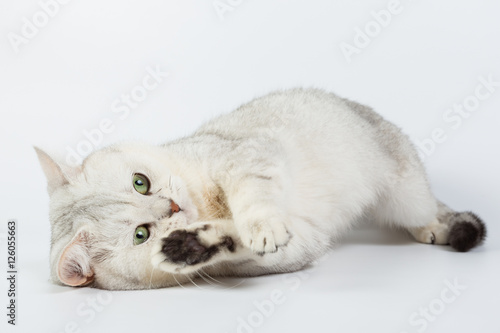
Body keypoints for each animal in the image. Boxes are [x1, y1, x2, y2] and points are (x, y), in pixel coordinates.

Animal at [34, 87, 484, 288]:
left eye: (140, 182)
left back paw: (437, 229)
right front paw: (191, 246)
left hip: (406, 195)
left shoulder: (249, 155)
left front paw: (260, 224)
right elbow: (238, 244)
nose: (174, 208)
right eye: (141, 235)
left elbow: (252, 195)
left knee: (431, 209)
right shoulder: (300, 245)